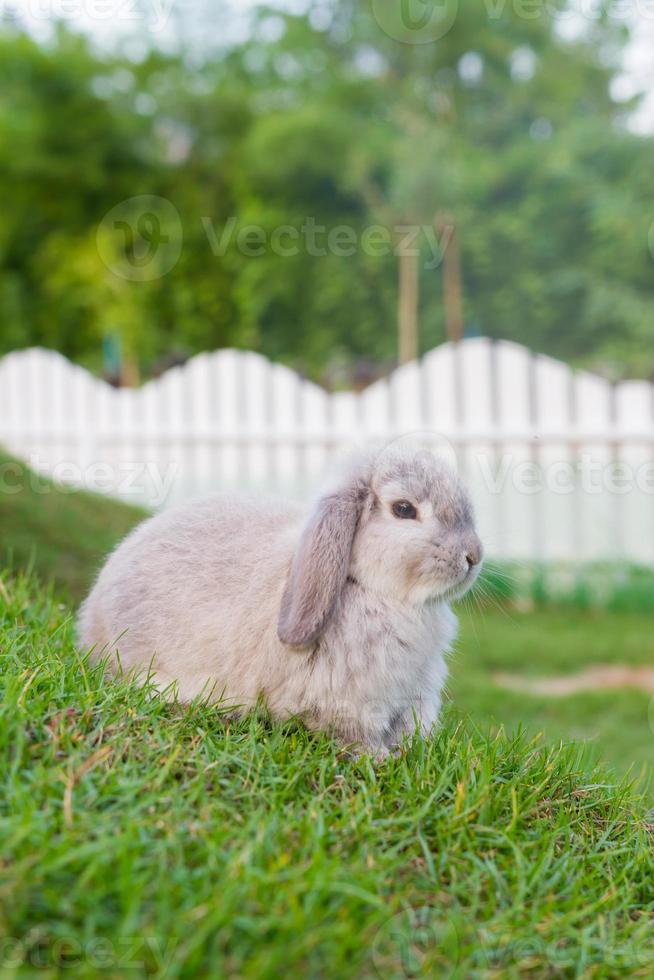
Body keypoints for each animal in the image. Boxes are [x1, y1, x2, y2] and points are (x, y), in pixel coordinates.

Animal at [79, 448, 484, 756]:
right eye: (403, 509)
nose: (474, 556)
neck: (370, 588)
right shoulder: (349, 707)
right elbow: (356, 736)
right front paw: (380, 758)